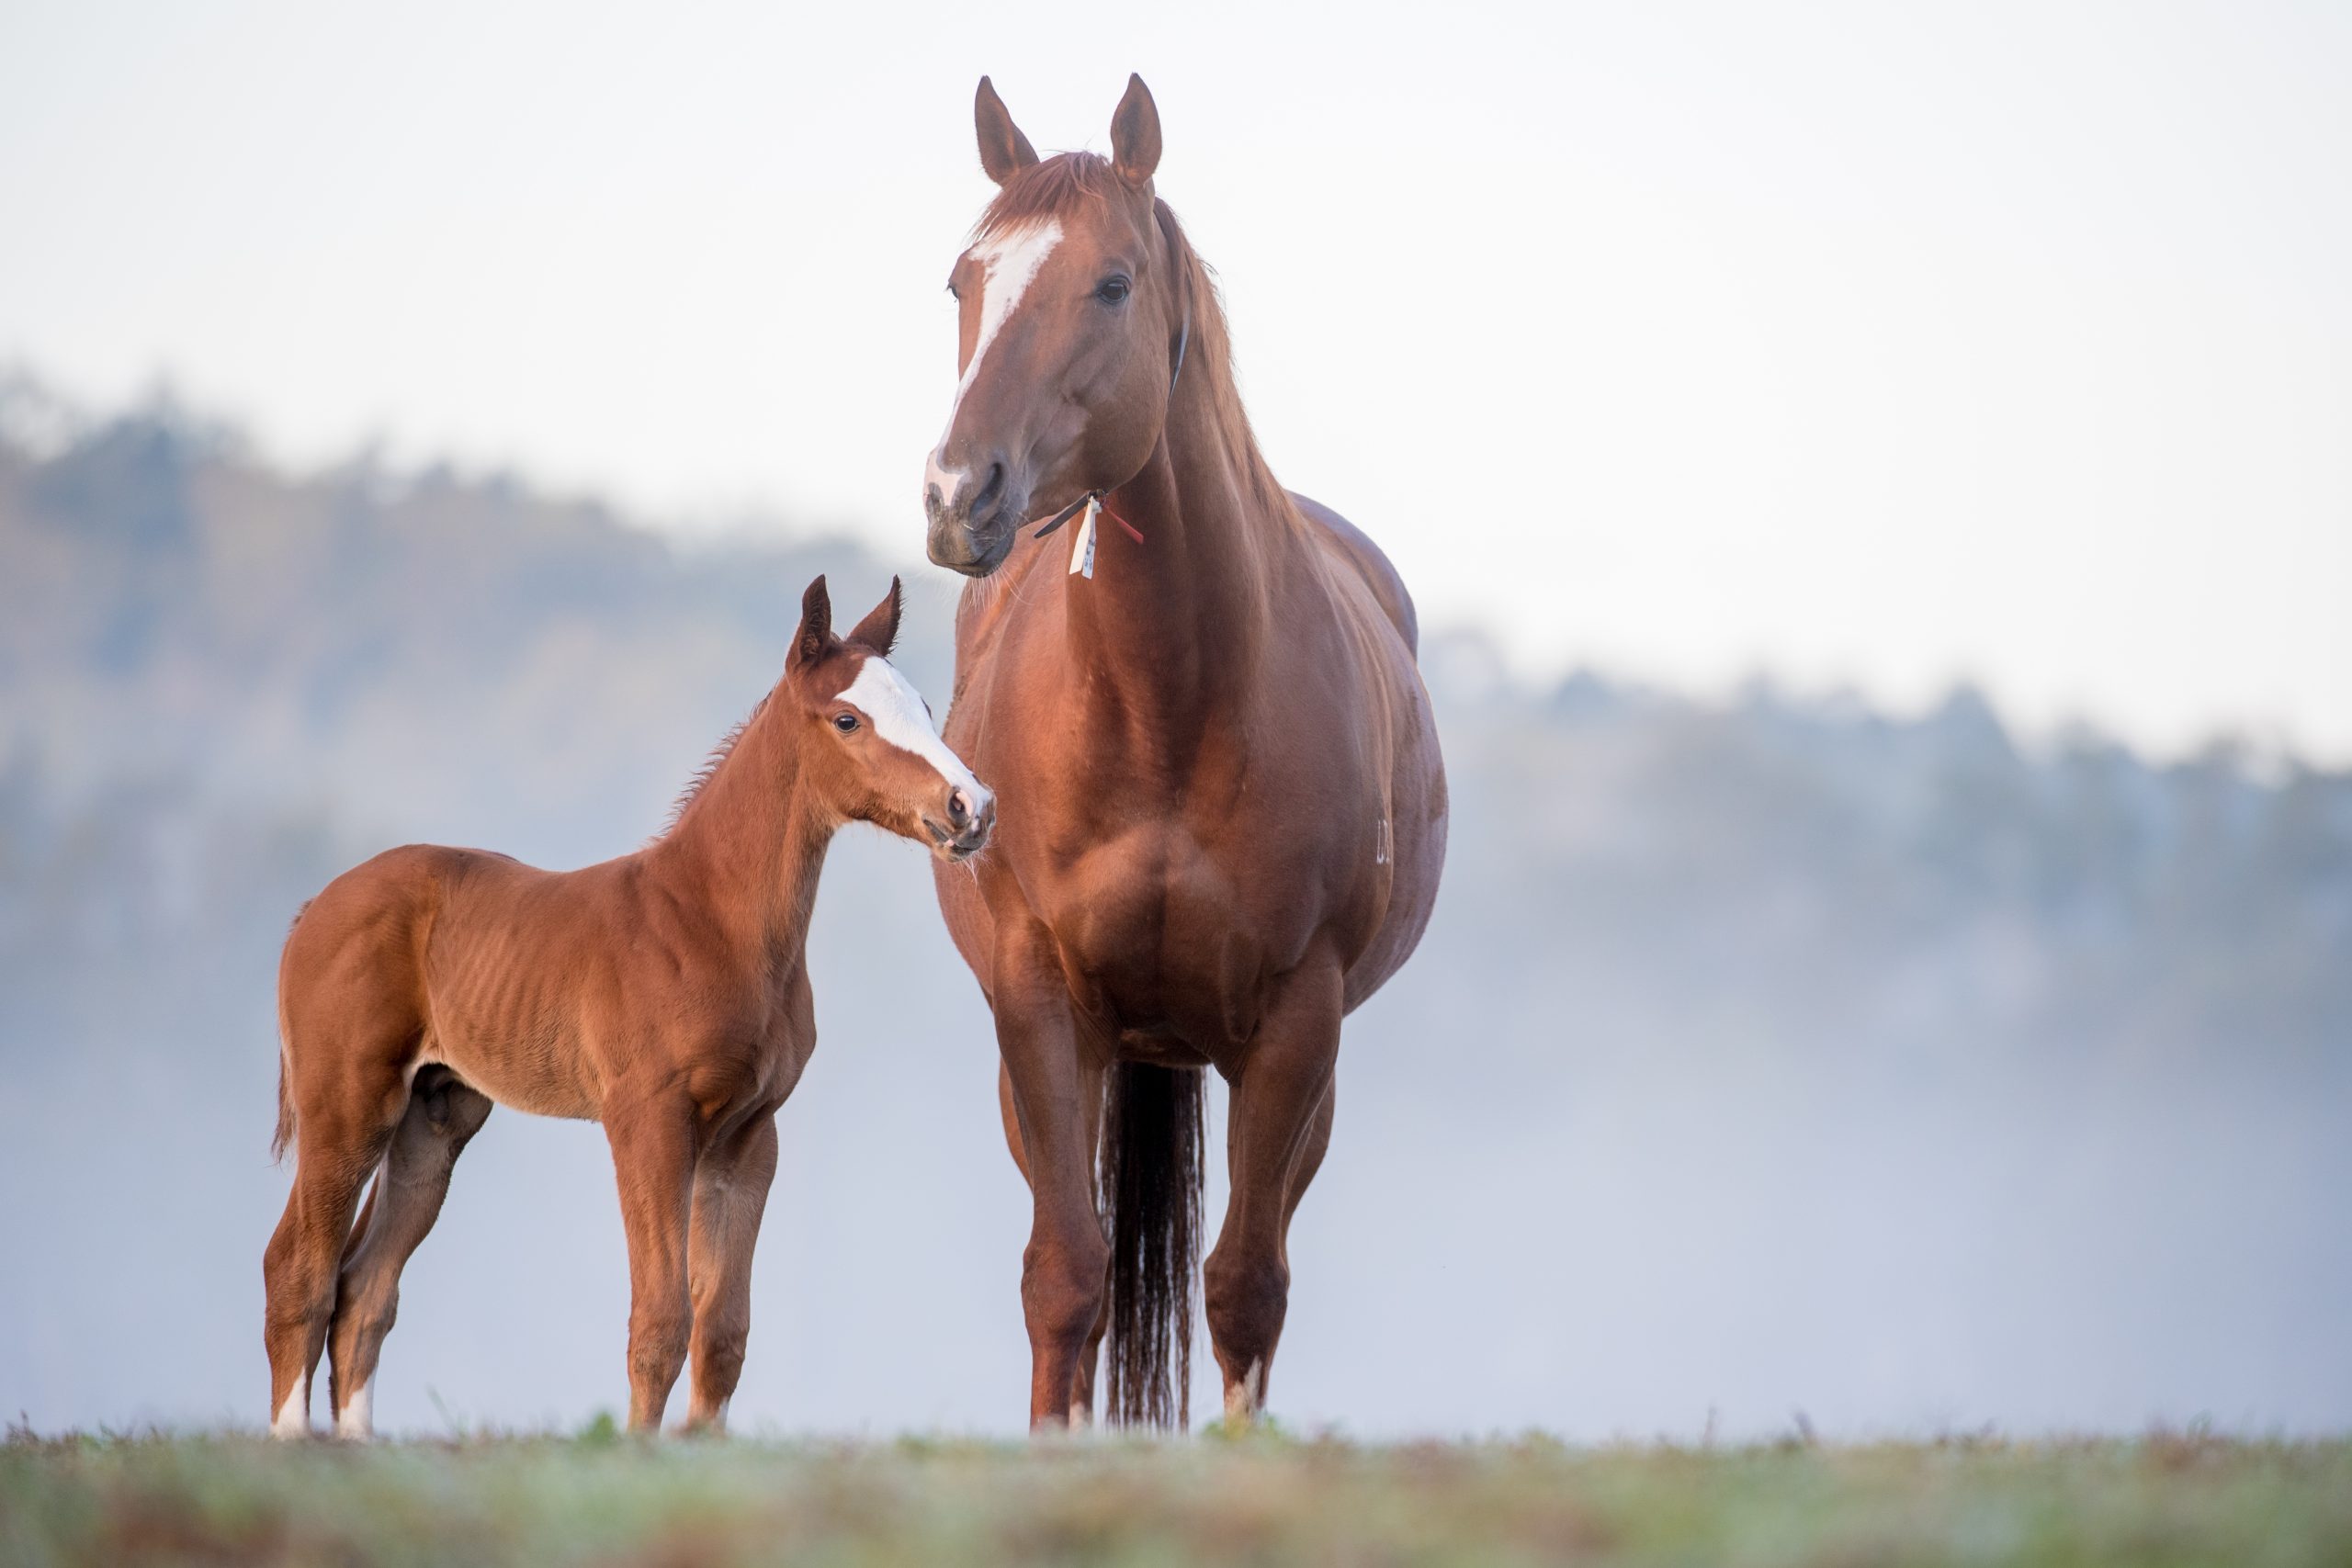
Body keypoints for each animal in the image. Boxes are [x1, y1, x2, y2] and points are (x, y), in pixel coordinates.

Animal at [259, 576, 992, 1438]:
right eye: (847, 718)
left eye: (924, 704)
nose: (971, 806)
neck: (710, 919)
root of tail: (313, 908)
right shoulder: (646, 1122)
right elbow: (661, 1319)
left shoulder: (748, 1137)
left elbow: (724, 1330)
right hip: (348, 1104)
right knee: (299, 1269)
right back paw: (291, 1444)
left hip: (433, 1118)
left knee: (365, 1291)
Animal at [922, 76, 1439, 1438]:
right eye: (961, 280)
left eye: (1111, 283)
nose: (956, 494)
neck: (1164, 709)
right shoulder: (1039, 1001)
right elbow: (1068, 1275)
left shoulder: (1296, 1023)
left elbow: (1245, 1285)